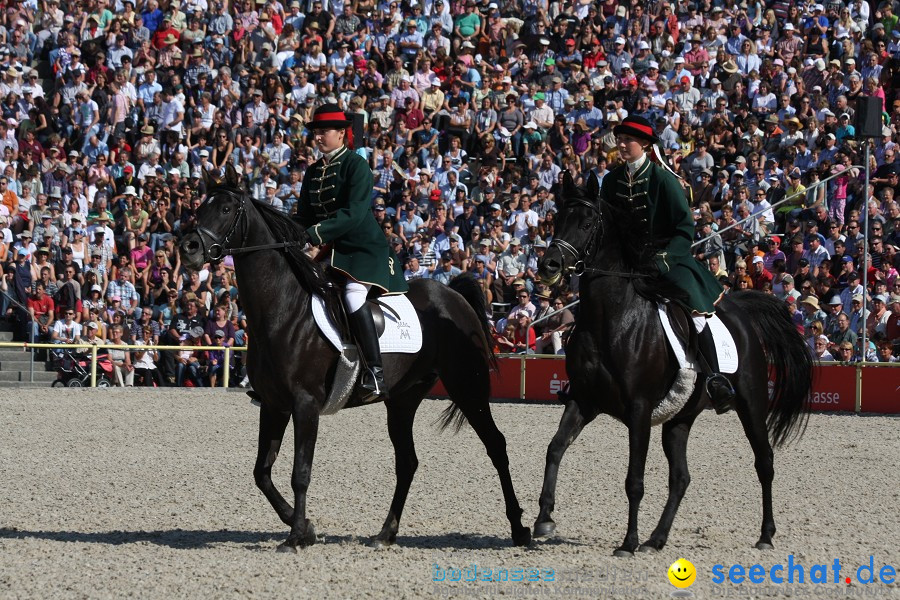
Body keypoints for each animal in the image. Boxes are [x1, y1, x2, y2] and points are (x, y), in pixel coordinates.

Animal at [179, 165, 532, 552]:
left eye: (226, 209)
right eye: (200, 207)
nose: (189, 248)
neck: (283, 309)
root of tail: (453, 295)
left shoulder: (304, 404)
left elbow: (300, 473)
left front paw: (296, 535)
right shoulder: (273, 405)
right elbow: (262, 472)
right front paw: (305, 527)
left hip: (467, 386)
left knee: (496, 445)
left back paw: (520, 529)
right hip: (403, 400)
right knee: (407, 462)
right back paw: (385, 533)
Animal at [532, 171, 812, 556]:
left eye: (587, 223)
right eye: (558, 219)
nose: (549, 266)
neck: (610, 318)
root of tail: (741, 310)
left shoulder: (638, 410)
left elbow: (634, 480)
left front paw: (628, 542)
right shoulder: (583, 400)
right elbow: (555, 448)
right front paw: (543, 519)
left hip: (751, 403)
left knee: (764, 462)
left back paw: (765, 535)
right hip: (679, 418)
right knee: (681, 478)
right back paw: (656, 539)